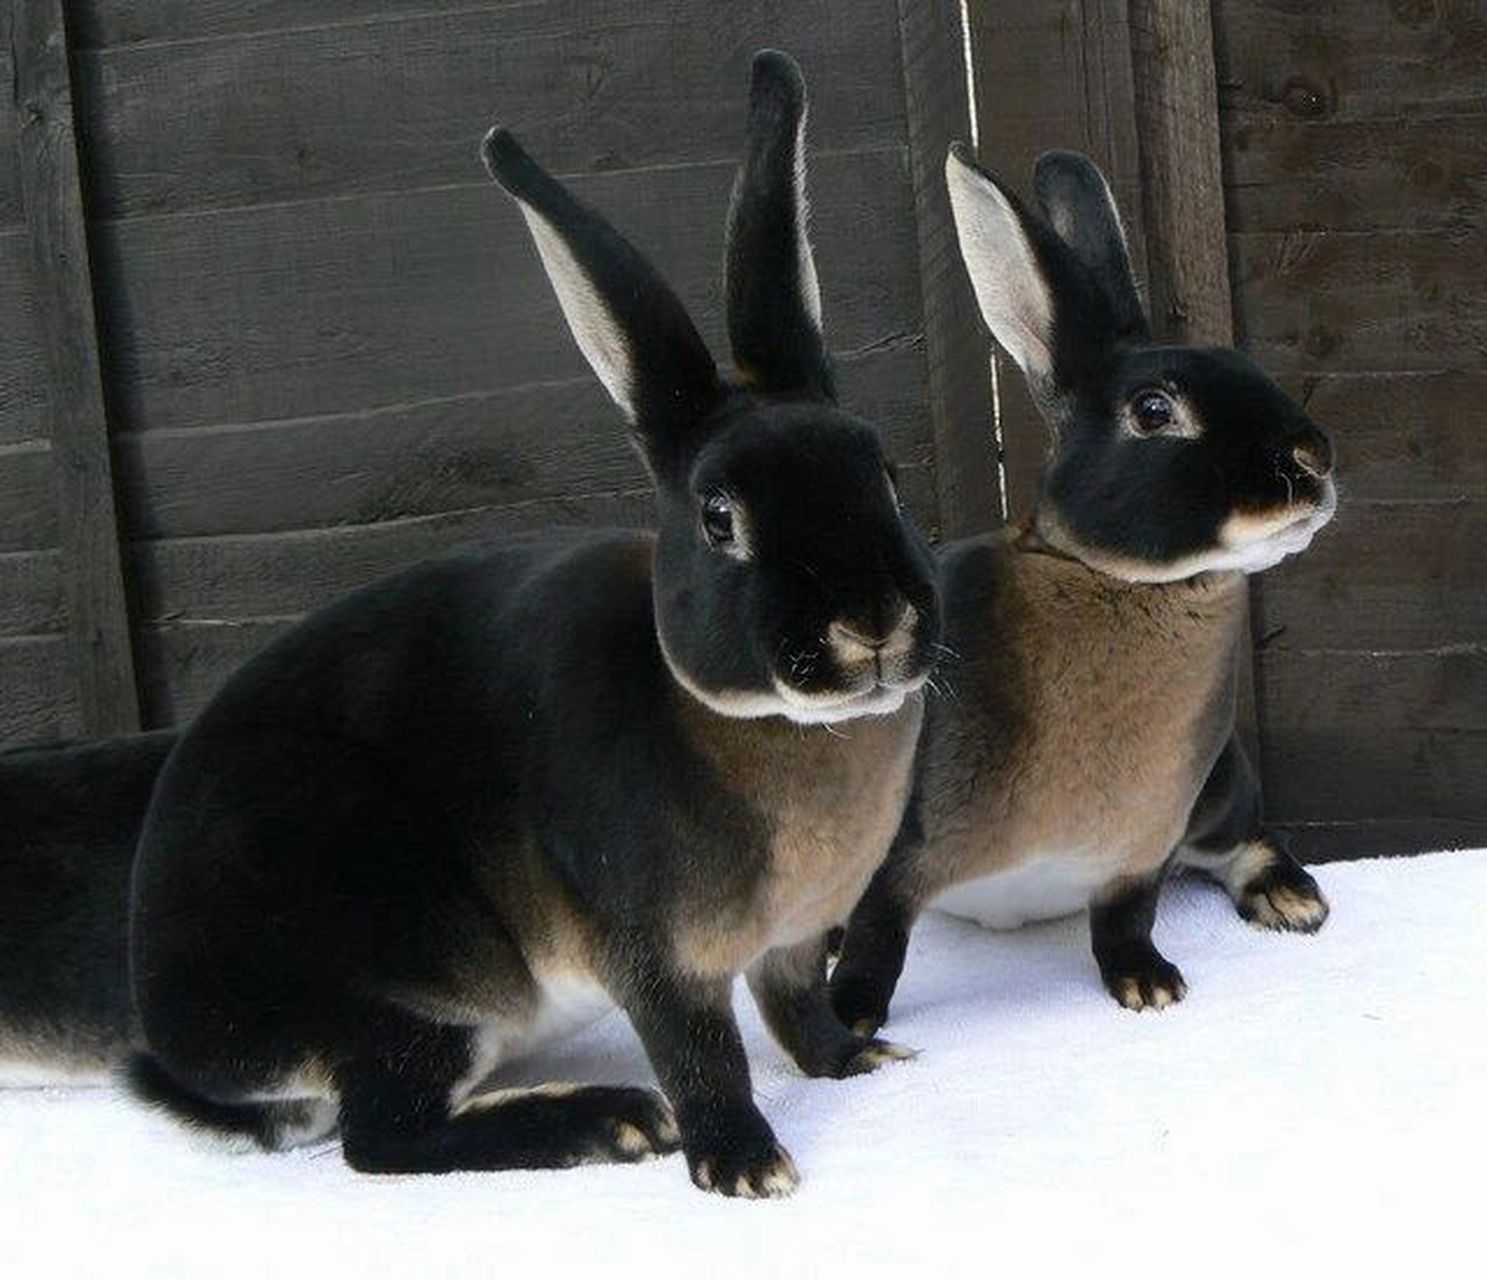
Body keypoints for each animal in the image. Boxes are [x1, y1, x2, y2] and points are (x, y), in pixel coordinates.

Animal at [123, 50, 939, 1199]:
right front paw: (744, 1165)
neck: (763, 723)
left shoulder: (788, 942)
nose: (869, 621)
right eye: (718, 517)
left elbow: (795, 1012)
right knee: (383, 1139)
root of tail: (180, 1033)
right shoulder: (653, 951)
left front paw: (859, 1058)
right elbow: (702, 1052)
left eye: (886, 475)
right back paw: (608, 1122)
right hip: (411, 980)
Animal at [828, 143, 1335, 1035]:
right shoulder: (895, 857)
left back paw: (1291, 899)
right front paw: (848, 1020)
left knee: (1244, 837)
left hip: (1219, 785)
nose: (1312, 460)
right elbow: (877, 938)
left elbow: (1124, 921)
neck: (1104, 575)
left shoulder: (1140, 850)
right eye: (1154, 410)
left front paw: (1147, 984)